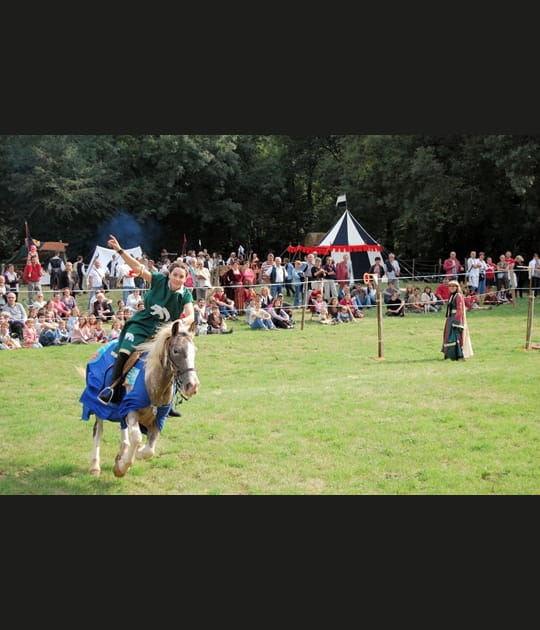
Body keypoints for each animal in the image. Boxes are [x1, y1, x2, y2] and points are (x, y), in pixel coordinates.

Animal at [79, 320, 199, 478]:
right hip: (98, 405)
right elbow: (136, 438)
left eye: (194, 351)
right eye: (176, 351)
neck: (152, 384)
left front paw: (132, 454)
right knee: (98, 431)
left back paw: (123, 449)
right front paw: (121, 467)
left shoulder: (158, 419)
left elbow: (149, 449)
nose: (192, 385)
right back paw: (95, 466)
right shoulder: (131, 410)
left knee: (122, 428)